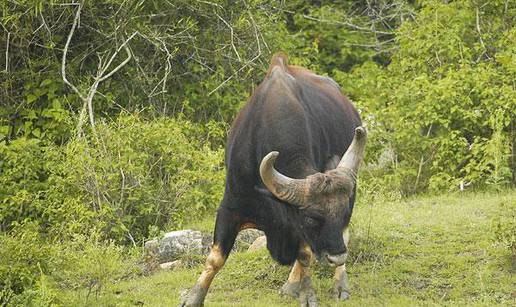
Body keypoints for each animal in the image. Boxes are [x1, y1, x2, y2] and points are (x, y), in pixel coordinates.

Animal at [181, 52, 366, 306]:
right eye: (311, 218)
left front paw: (307, 294)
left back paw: (337, 284)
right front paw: (193, 297)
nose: (337, 257)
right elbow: (216, 257)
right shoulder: (230, 206)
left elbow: (305, 254)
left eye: (344, 214)